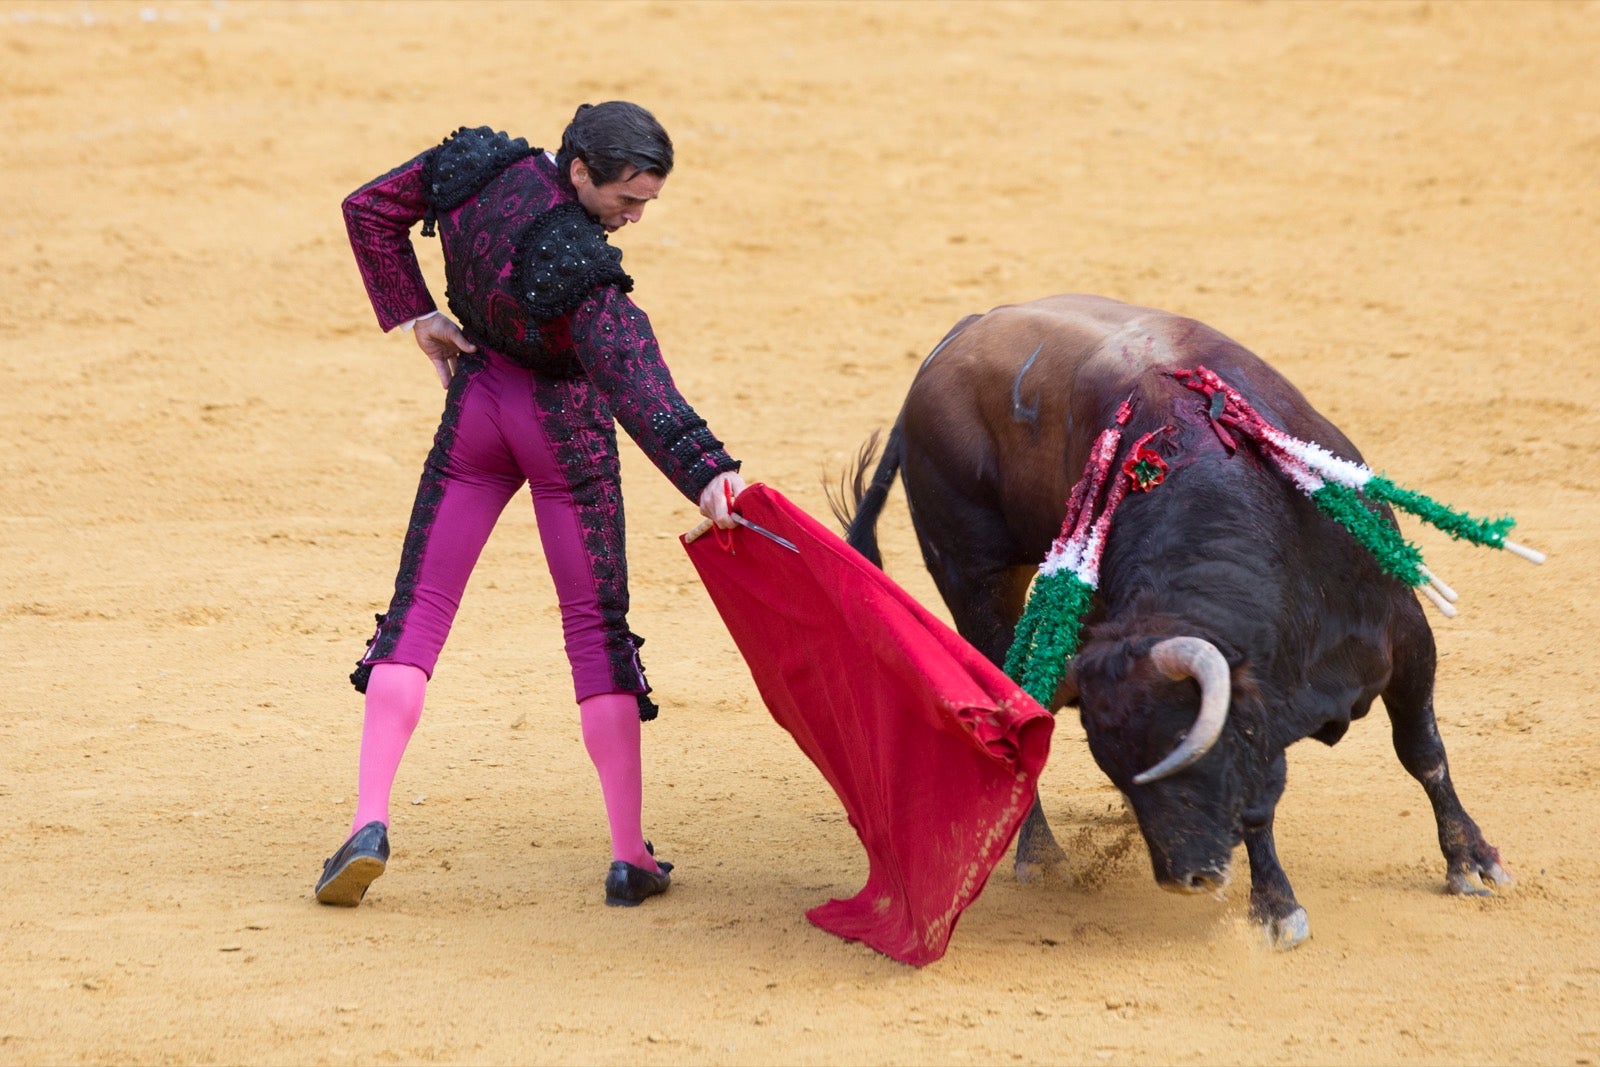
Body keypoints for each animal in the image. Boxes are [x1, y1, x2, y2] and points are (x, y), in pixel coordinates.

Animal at [844, 294, 1516, 953]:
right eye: (1118, 771)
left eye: (1184, 753)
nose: (1184, 878)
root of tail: (961, 334)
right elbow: (1257, 806)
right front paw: (1276, 907)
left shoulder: (1405, 635)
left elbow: (1423, 751)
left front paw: (1473, 862)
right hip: (972, 574)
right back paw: (1040, 855)